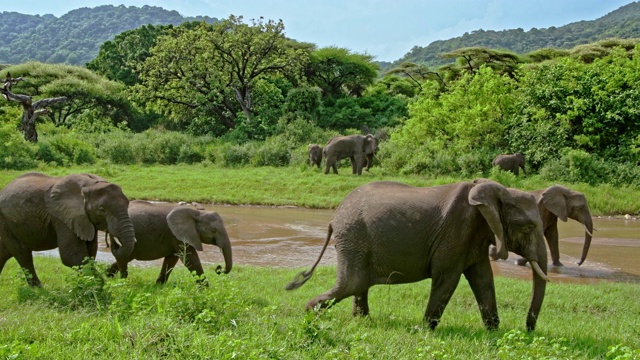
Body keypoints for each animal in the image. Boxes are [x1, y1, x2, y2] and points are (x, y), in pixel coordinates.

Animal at [0, 172, 135, 286]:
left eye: (128, 204)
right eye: (102, 210)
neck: (89, 185)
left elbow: (91, 251)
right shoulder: (62, 218)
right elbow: (72, 256)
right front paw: (98, 286)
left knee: (6, 253)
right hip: (6, 223)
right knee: (23, 255)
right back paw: (39, 289)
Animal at [286, 180, 552, 332]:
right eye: (527, 228)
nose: (528, 330)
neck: (498, 191)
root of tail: (333, 219)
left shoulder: (475, 235)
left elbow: (483, 279)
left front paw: (494, 332)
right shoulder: (457, 231)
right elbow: (447, 278)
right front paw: (425, 330)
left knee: (358, 286)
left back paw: (363, 323)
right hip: (353, 237)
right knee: (351, 284)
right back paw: (309, 314)